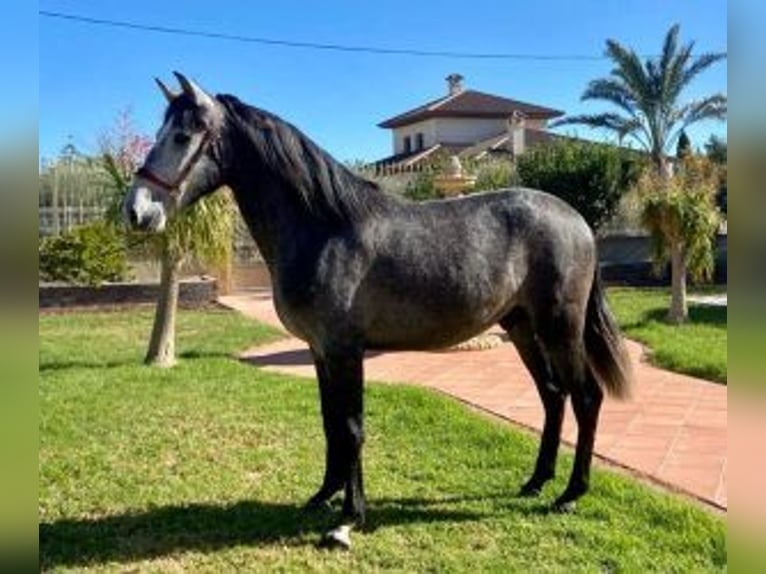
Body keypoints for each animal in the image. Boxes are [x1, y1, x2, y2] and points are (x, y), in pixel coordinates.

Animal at [124, 72, 633, 548]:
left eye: (182, 136)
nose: (136, 211)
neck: (326, 228)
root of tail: (576, 220)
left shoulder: (346, 350)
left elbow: (351, 428)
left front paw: (349, 518)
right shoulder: (321, 351)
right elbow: (331, 424)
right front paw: (323, 496)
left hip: (560, 326)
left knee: (586, 397)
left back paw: (570, 493)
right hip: (523, 326)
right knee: (552, 395)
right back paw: (535, 481)